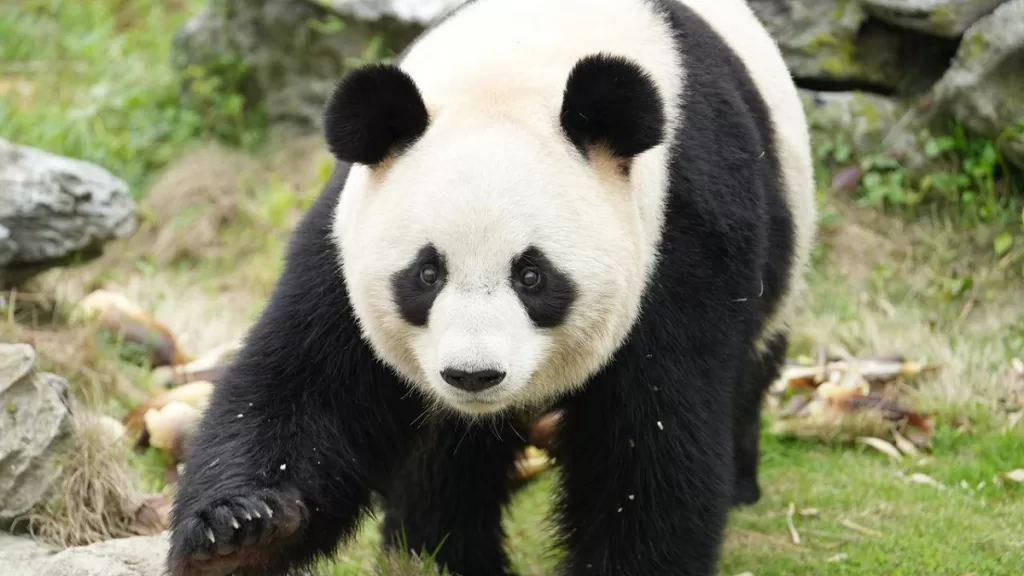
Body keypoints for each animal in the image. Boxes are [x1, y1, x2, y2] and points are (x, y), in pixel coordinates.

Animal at [166, 0, 816, 574]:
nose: (473, 375)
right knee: (445, 454)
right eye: (426, 274)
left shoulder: (680, 230)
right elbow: (308, 383)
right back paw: (435, 551)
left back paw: (740, 482)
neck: (520, 62)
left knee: (750, 370)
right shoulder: (345, 233)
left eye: (532, 276)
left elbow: (650, 443)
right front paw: (238, 533)